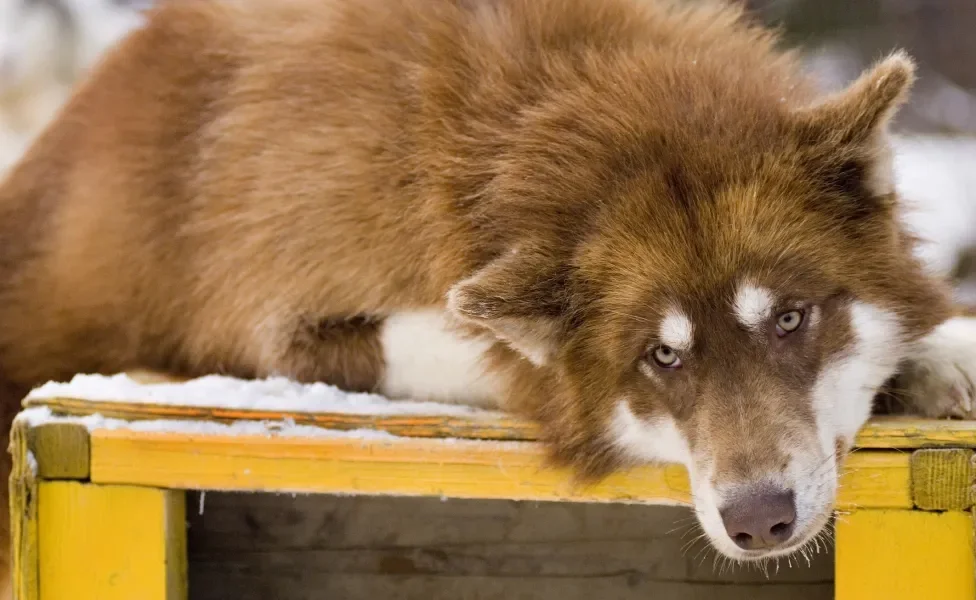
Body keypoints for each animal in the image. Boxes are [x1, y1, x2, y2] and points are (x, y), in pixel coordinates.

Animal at [1, 0, 976, 580]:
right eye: (660, 357)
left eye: (791, 318)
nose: (759, 521)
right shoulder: (285, 326)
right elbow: (506, 360)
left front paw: (938, 352)